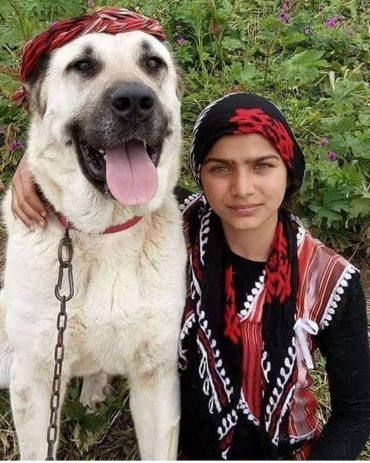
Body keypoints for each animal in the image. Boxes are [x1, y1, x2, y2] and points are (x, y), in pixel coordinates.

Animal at [0, 22, 185, 460]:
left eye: (153, 62)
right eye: (83, 66)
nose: (135, 101)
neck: (105, 233)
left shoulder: (156, 377)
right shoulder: (35, 379)